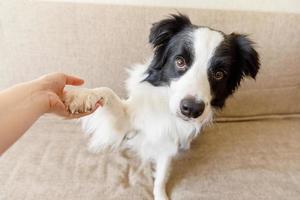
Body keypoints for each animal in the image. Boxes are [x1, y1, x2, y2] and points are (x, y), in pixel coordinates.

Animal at [63, 14, 260, 200]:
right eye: (180, 62)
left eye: (219, 74)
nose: (191, 109)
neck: (166, 109)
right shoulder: (127, 118)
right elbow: (107, 92)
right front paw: (80, 95)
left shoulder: (169, 140)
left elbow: (162, 175)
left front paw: (160, 194)